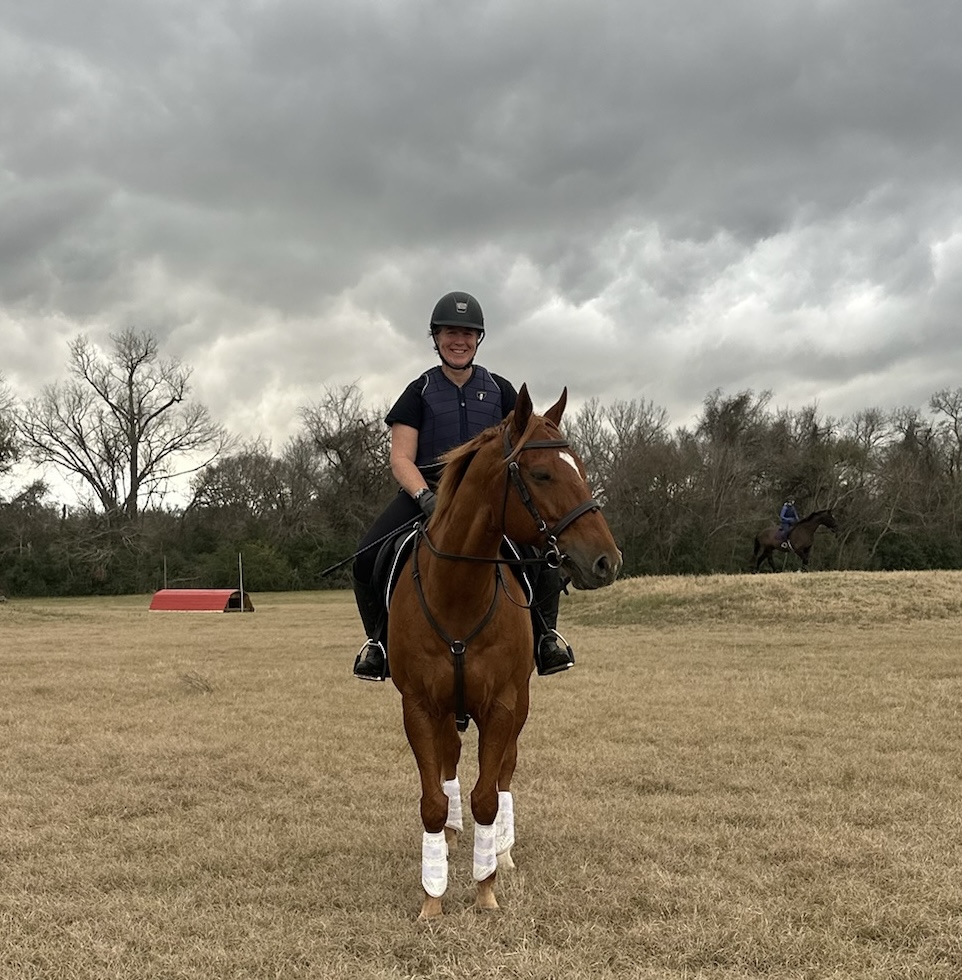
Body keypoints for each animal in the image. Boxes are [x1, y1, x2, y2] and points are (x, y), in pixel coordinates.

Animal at [386, 382, 620, 920]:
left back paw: (502, 852)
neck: (457, 592)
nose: (607, 560)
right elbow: (433, 799)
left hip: (519, 703)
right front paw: (433, 896)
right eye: (542, 473)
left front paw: (486, 886)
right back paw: (452, 840)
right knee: (450, 763)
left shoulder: (502, 704)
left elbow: (489, 796)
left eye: (579, 466)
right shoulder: (419, 707)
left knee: (506, 771)